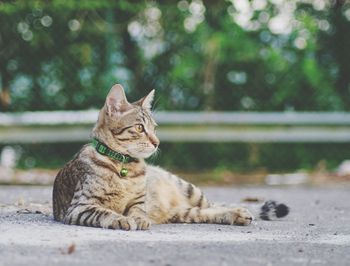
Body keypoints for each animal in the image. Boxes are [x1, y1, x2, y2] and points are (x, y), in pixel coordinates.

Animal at [51, 84, 288, 230]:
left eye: (154, 128)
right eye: (140, 128)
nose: (157, 142)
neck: (124, 166)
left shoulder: (138, 203)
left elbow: (137, 211)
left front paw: (137, 219)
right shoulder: (80, 207)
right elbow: (104, 212)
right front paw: (121, 219)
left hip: (190, 190)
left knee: (213, 204)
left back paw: (240, 211)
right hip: (186, 212)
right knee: (205, 212)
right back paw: (236, 214)